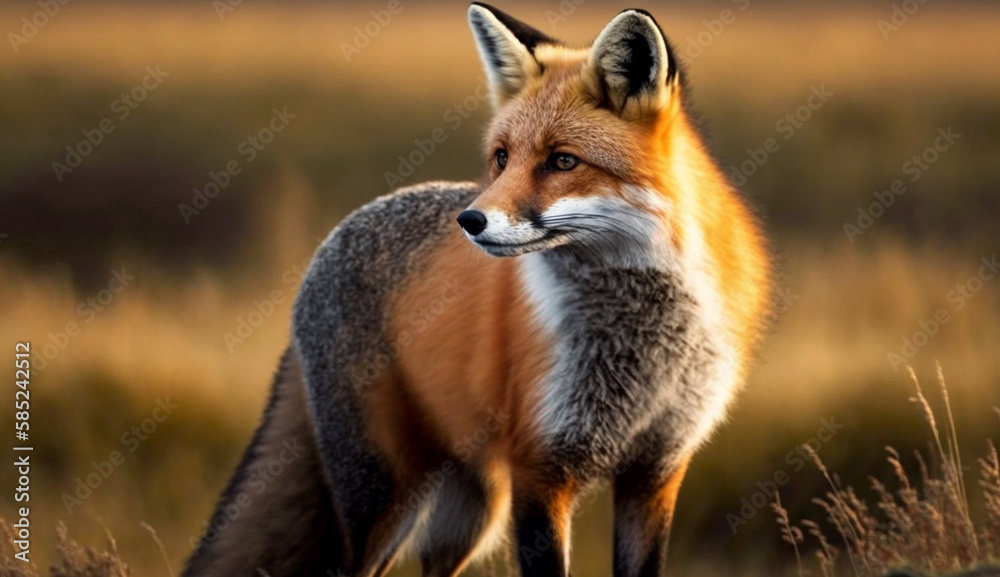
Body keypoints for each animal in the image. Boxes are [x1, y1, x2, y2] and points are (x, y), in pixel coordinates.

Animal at [183, 3, 770, 577]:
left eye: (563, 160)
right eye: (502, 157)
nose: (469, 220)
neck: (641, 345)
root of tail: (332, 241)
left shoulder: (656, 473)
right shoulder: (539, 467)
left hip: (472, 509)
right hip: (388, 496)